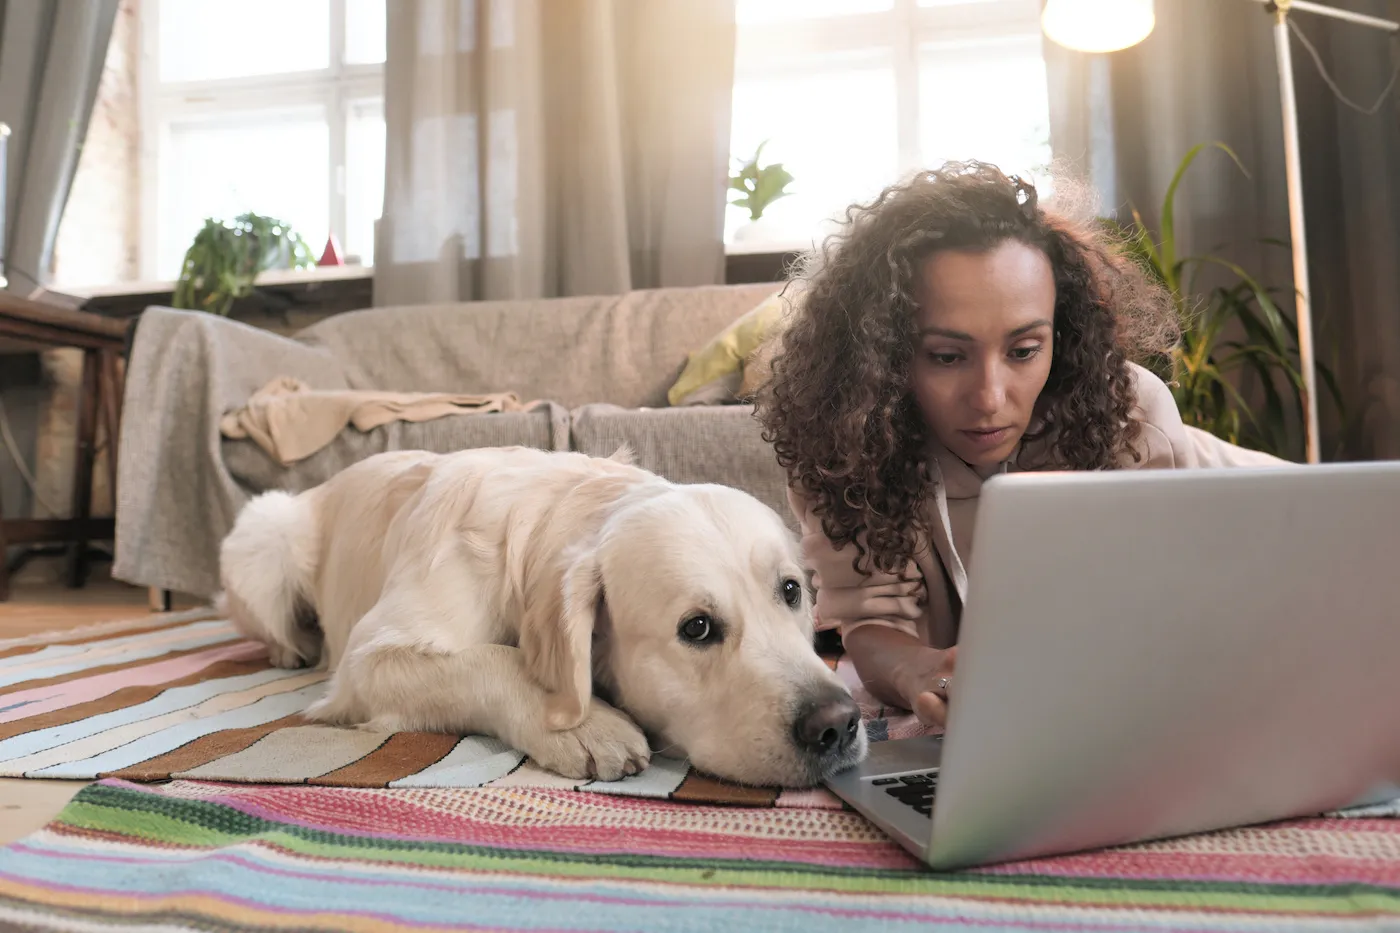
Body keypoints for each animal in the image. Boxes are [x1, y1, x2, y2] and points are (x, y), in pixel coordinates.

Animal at [217, 442, 862, 784]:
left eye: (791, 591)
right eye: (697, 628)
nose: (838, 724)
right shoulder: (366, 660)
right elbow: (489, 659)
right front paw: (586, 724)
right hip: (262, 531)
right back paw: (291, 648)